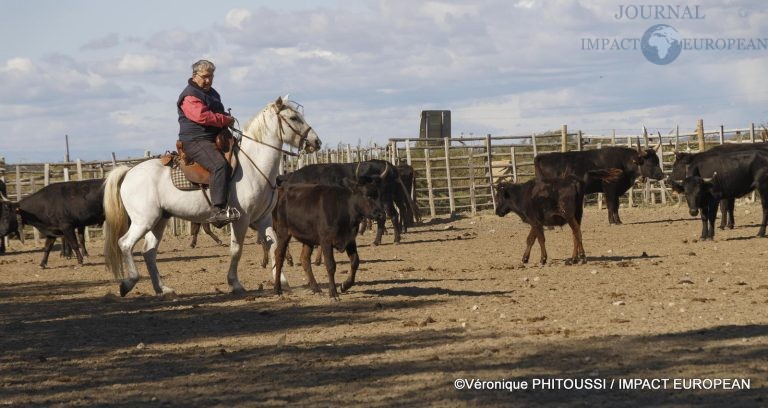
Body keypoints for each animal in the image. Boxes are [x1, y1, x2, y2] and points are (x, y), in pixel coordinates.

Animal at [103, 96, 320, 294]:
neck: (254, 166)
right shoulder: (241, 219)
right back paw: (128, 282)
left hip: (159, 220)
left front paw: (281, 282)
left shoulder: (263, 218)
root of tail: (129, 171)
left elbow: (274, 246)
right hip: (144, 220)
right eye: (294, 118)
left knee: (148, 252)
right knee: (125, 243)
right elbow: (236, 250)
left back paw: (162, 289)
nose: (316, 142)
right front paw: (235, 283)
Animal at [536, 146, 664, 225]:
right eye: (650, 162)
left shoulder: (615, 191)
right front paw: (612, 222)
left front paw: (618, 221)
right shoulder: (610, 188)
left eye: (657, 160)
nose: (661, 175)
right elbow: (611, 205)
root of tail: (542, 156)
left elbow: (616, 206)